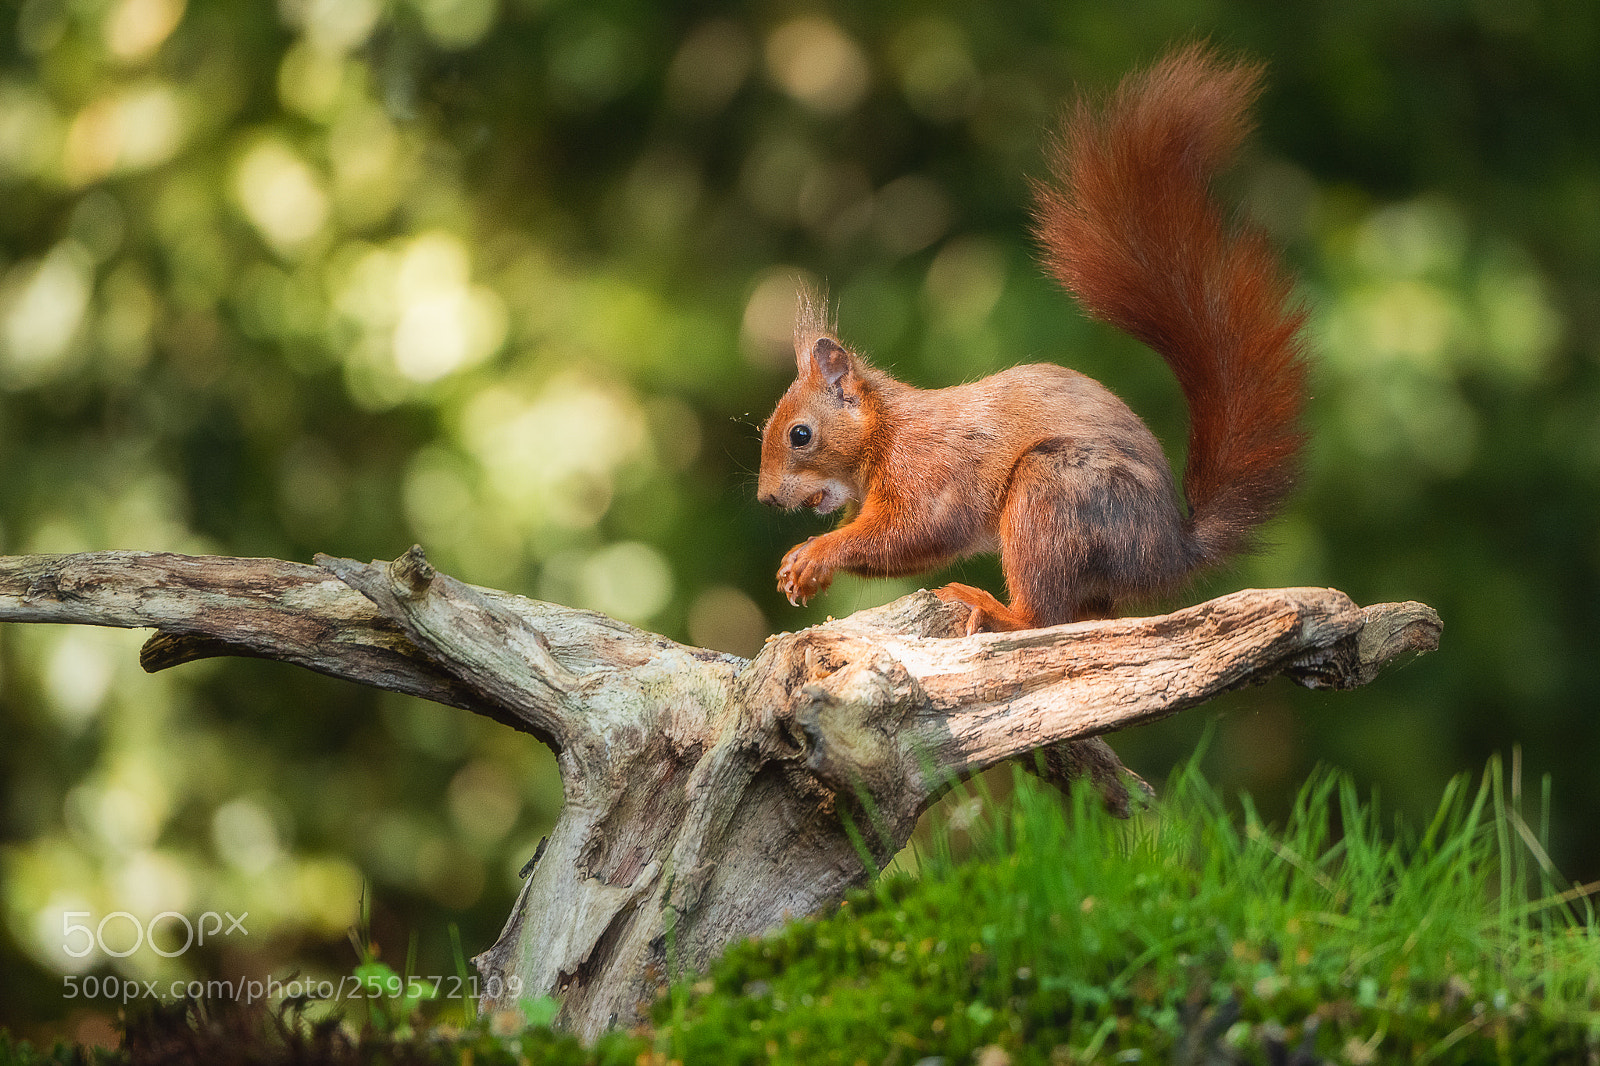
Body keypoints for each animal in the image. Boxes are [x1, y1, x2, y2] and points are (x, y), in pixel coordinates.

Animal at [756, 44, 1308, 634]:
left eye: (800, 435)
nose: (766, 499)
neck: (886, 431)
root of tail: (1168, 554)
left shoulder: (928, 470)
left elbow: (914, 532)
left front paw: (814, 554)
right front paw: (797, 563)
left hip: (1052, 493)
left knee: (1042, 614)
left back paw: (991, 610)